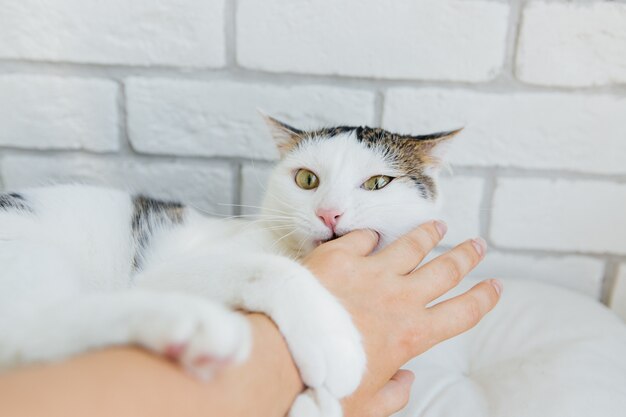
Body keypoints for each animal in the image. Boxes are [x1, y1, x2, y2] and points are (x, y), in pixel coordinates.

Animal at [0, 114, 456, 416]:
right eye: (306, 179)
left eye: (378, 183)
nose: (329, 214)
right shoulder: (168, 269)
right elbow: (274, 270)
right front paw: (333, 345)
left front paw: (315, 402)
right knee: (34, 327)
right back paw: (196, 327)